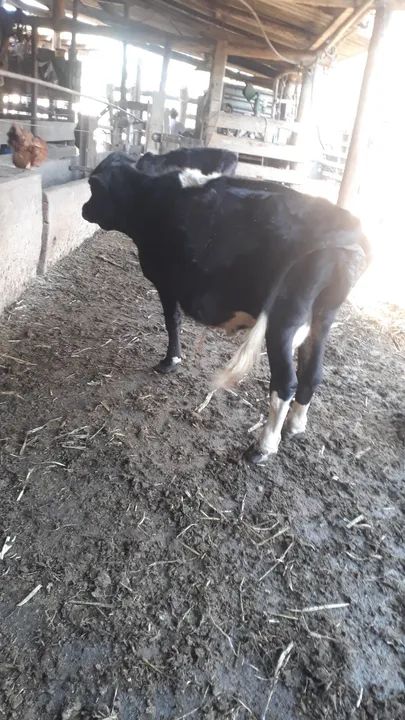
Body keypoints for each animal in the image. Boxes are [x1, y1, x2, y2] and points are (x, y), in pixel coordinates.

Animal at [82, 152, 370, 463]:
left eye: (93, 187)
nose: (84, 209)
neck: (150, 196)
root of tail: (347, 227)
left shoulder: (166, 283)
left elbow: (172, 321)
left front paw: (170, 361)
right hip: (323, 316)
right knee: (313, 371)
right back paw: (295, 425)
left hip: (284, 319)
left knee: (285, 383)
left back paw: (264, 447)